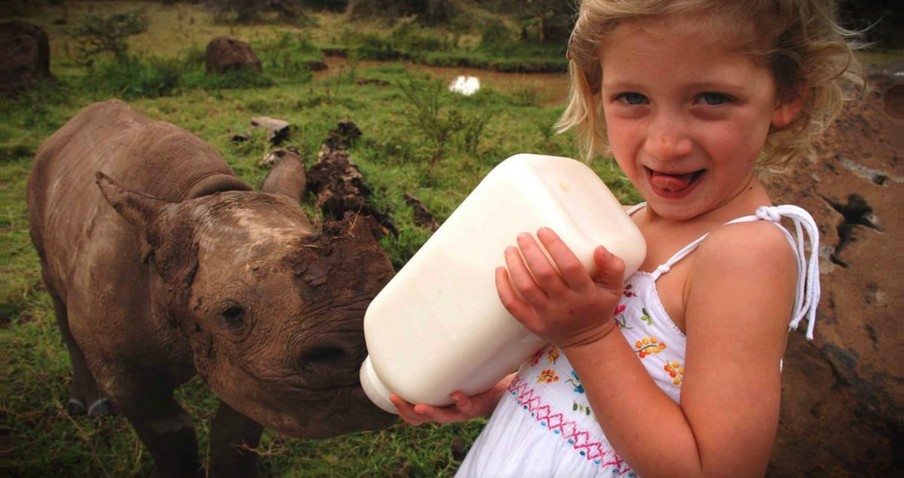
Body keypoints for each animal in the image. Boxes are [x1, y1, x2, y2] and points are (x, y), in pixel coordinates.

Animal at [25, 99, 396, 476]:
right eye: (230, 313)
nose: (359, 343)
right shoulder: (120, 366)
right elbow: (171, 432)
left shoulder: (252, 369)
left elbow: (234, 434)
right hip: (40, 179)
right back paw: (91, 406)